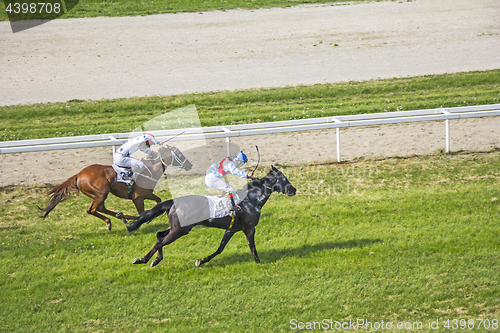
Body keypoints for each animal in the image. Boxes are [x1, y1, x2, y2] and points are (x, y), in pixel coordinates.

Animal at [38, 144, 191, 230]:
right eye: (179, 154)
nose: (190, 164)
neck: (149, 170)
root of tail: (79, 174)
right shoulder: (138, 198)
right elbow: (143, 212)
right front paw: (143, 220)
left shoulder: (147, 194)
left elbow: (158, 201)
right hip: (100, 193)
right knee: (91, 210)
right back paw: (115, 220)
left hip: (98, 195)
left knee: (99, 208)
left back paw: (121, 217)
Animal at [127, 166, 296, 268]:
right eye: (285, 179)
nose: (294, 190)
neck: (251, 200)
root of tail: (172, 202)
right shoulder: (249, 228)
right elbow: (252, 247)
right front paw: (259, 263)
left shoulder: (231, 229)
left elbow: (220, 248)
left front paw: (201, 261)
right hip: (180, 230)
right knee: (160, 241)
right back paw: (142, 260)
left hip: (176, 227)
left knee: (159, 235)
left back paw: (155, 260)